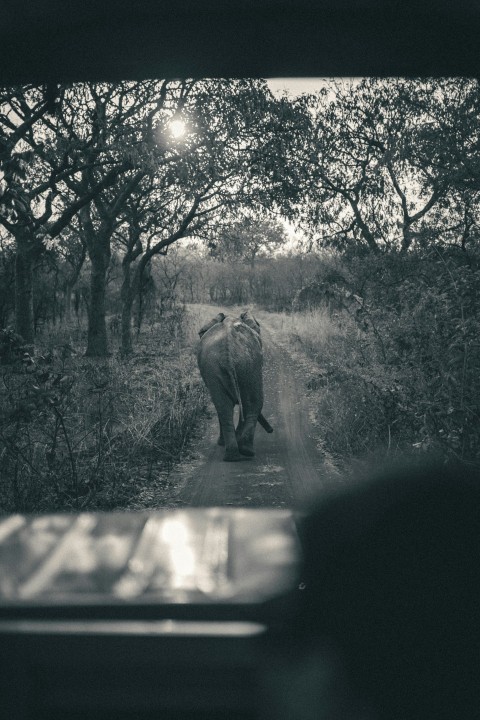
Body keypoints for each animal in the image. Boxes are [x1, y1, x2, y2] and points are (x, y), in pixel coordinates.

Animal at [196, 310, 272, 462]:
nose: (270, 430)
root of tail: (228, 354)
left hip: (236, 366)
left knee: (225, 407)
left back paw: (235, 452)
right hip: (248, 365)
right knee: (252, 404)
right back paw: (244, 450)